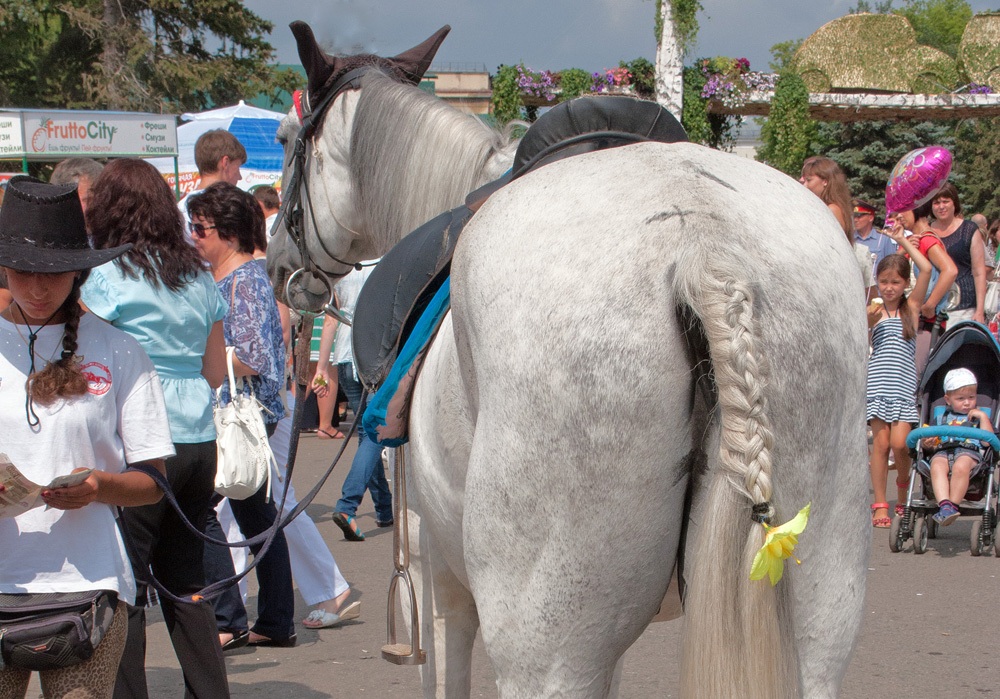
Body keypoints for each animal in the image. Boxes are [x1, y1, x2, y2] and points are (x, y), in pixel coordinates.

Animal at [270, 28, 872, 699]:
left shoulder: (437, 575)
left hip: (546, 648)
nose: (278, 265)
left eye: (287, 138)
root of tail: (704, 244)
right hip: (818, 622)